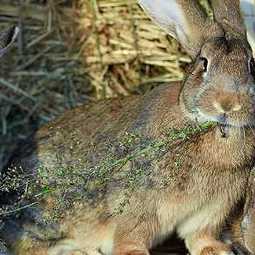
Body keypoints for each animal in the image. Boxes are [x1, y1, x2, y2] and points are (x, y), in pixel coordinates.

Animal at [1, 0, 255, 255]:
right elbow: (131, 235)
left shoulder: (212, 209)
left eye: (251, 64)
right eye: (204, 63)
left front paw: (217, 250)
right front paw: (134, 252)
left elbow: (201, 238)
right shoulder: (139, 204)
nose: (228, 103)